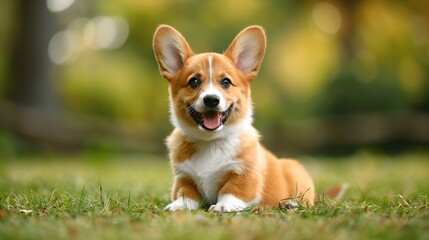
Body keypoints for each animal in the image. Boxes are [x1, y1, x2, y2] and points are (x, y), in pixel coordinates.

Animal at [152, 24, 312, 212]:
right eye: (194, 81)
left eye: (226, 82)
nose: (211, 99)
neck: (210, 142)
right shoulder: (183, 176)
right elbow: (185, 193)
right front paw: (179, 205)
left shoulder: (244, 173)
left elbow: (232, 190)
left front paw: (224, 206)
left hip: (296, 171)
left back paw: (290, 203)